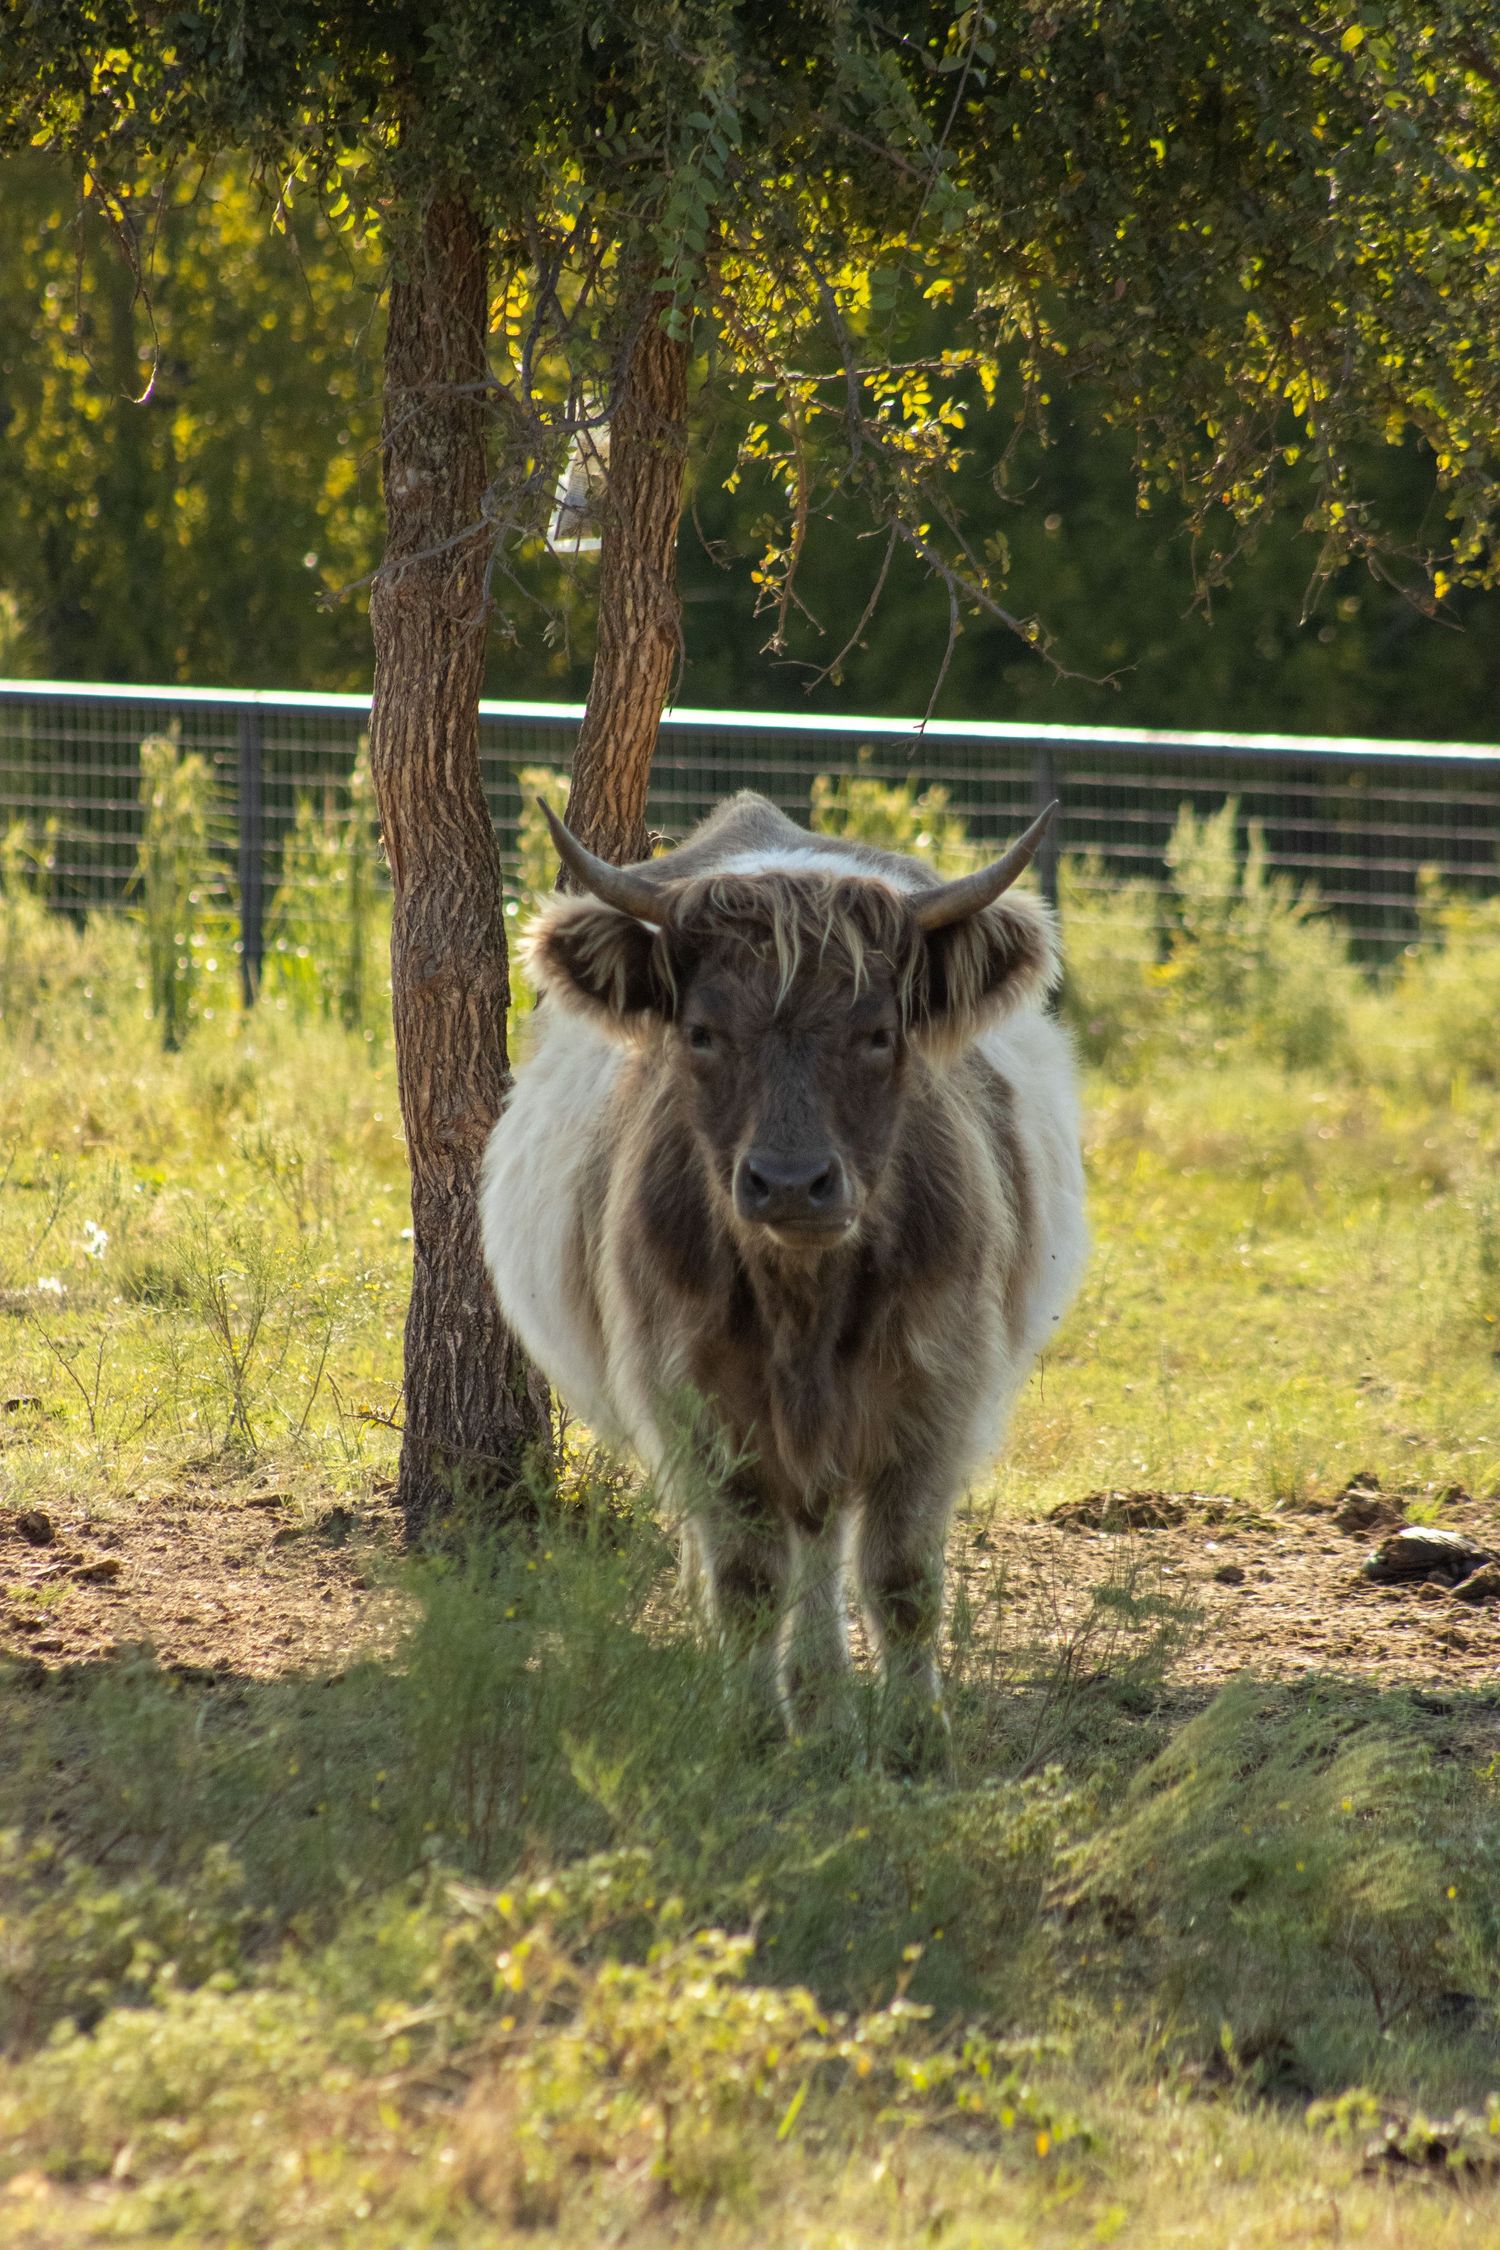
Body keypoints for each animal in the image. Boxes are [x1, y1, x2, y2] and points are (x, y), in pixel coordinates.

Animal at [479, 791, 1088, 1764]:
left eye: (879, 1035)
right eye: (701, 1033)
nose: (792, 1182)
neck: (803, 1303)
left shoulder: (937, 1391)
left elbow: (901, 1577)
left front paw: (914, 1740)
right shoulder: (691, 1402)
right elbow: (746, 1578)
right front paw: (754, 1729)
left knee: (825, 1539)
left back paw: (827, 1708)